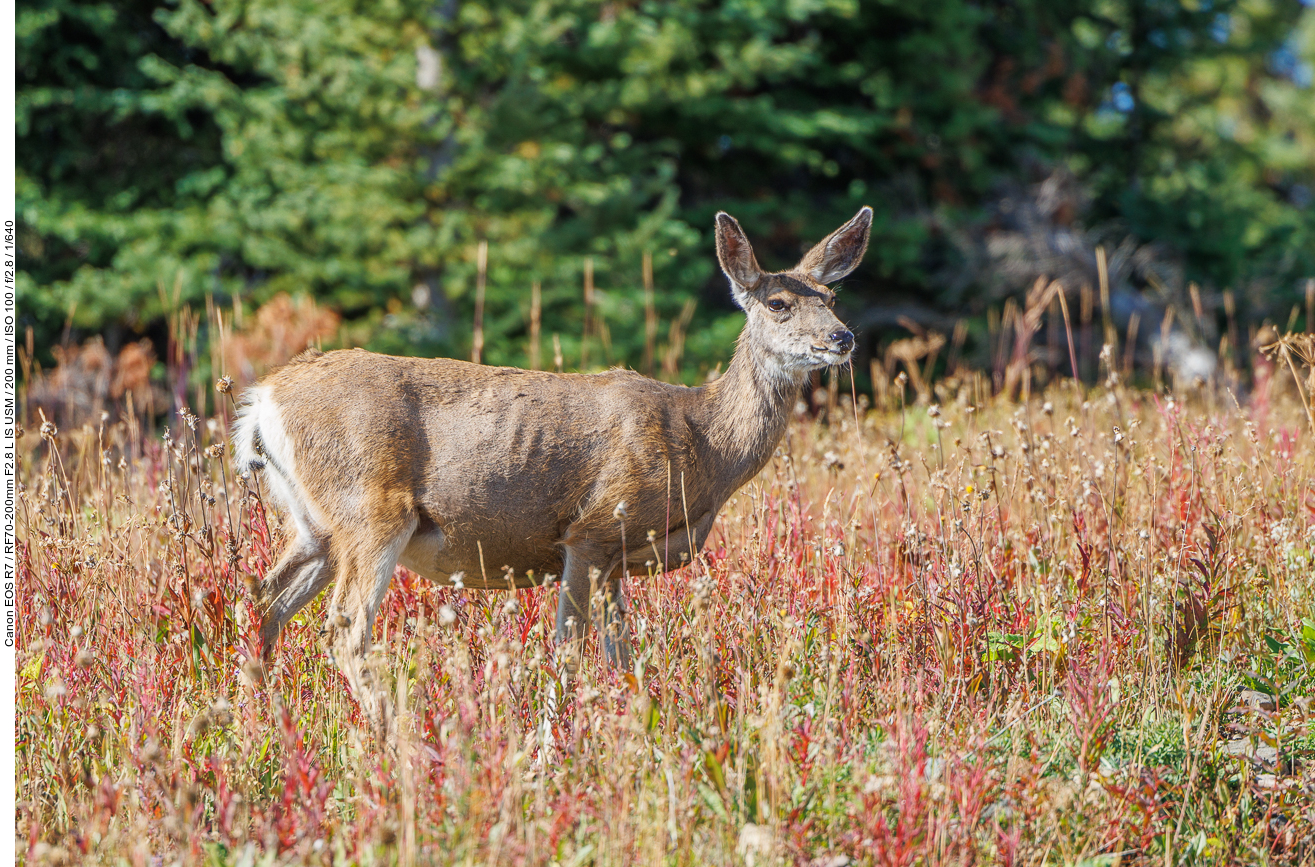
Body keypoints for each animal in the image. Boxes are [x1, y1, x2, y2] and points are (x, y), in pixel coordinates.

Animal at [236, 206, 873, 731]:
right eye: (778, 303)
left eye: (832, 298)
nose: (842, 337)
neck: (704, 444)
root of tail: (264, 399)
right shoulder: (592, 530)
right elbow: (568, 647)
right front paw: (550, 743)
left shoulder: (619, 557)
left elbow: (624, 657)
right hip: (371, 507)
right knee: (345, 623)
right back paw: (400, 738)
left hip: (316, 525)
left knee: (264, 600)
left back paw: (257, 725)